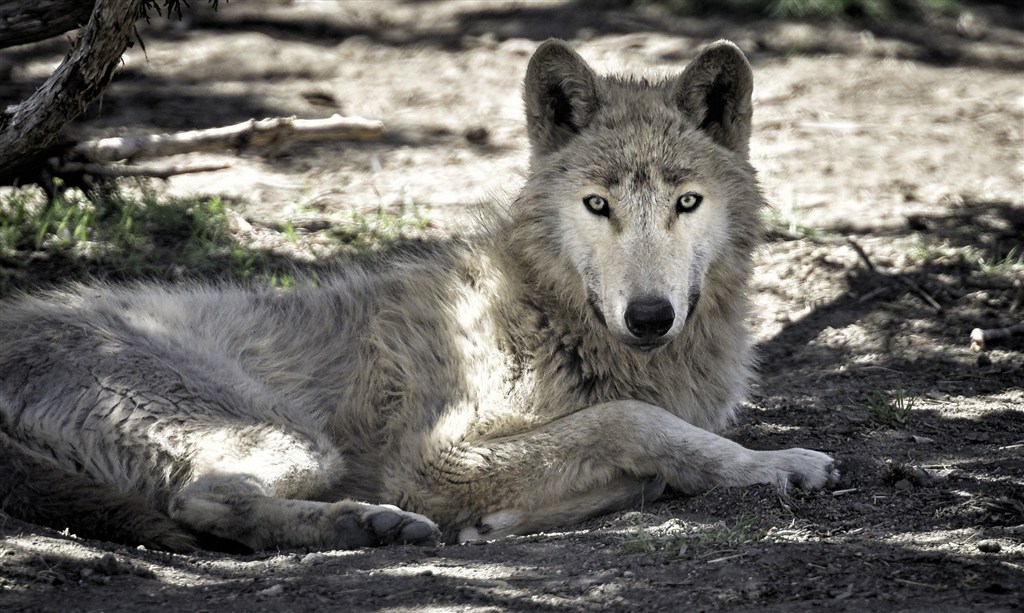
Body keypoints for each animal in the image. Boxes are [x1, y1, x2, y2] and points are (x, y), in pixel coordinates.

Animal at [0, 40, 839, 552]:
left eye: (686, 203)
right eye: (598, 205)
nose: (650, 315)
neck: (555, 313)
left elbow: (648, 440)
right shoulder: (437, 459)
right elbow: (635, 421)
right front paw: (773, 463)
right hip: (293, 438)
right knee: (202, 500)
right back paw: (371, 524)